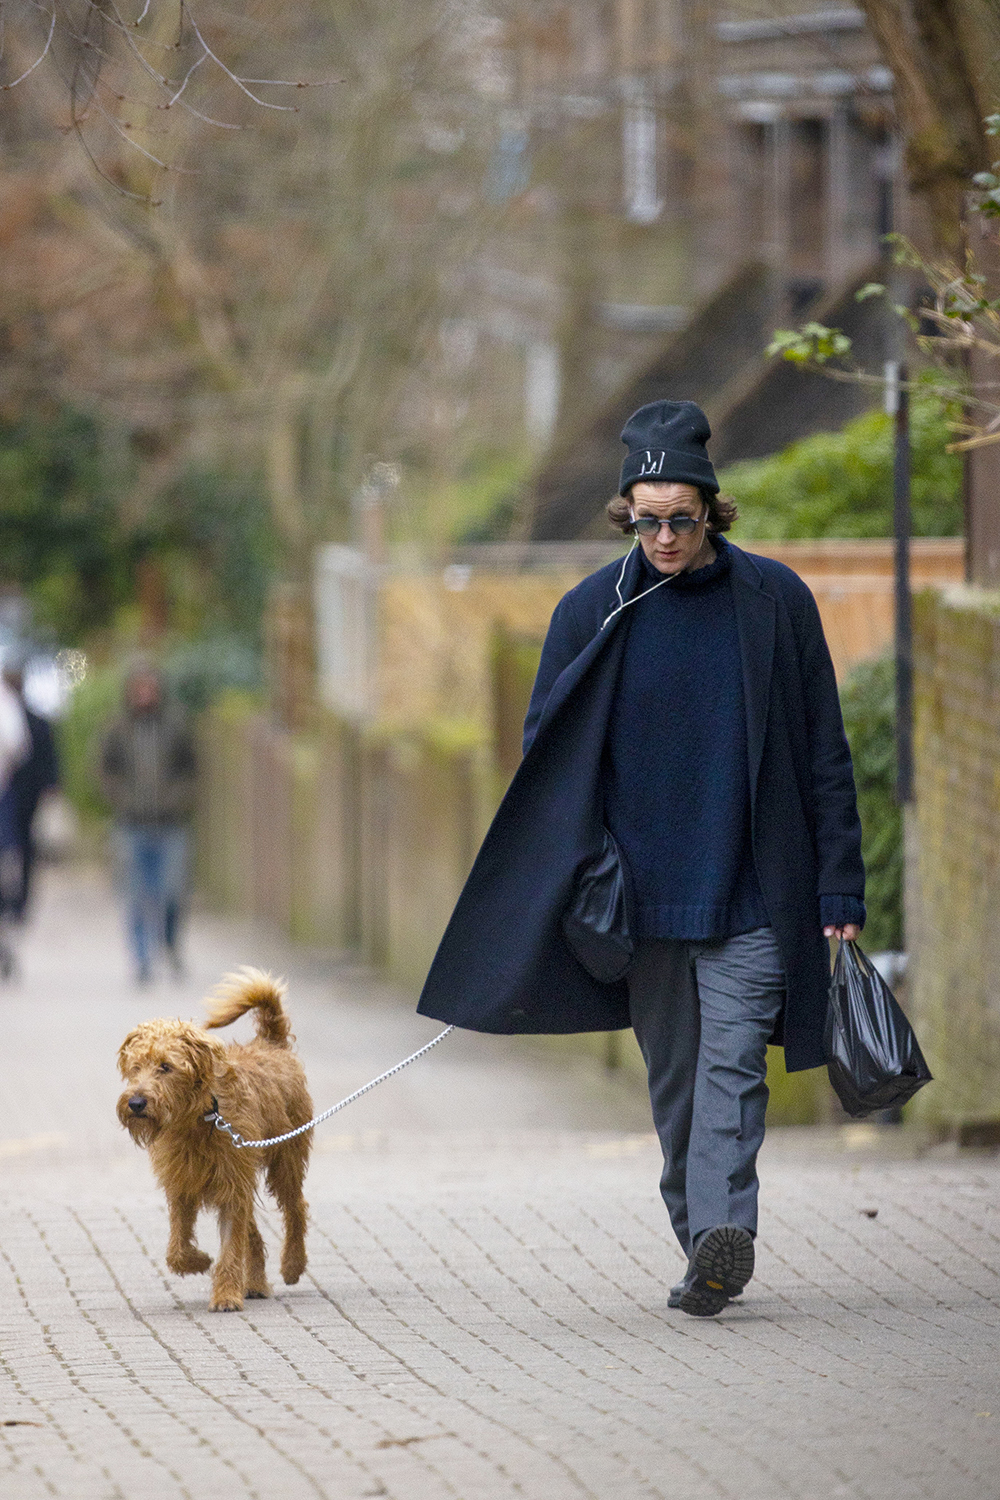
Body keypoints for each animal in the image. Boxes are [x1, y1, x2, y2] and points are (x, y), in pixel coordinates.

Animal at [116, 966, 313, 1308]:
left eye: (165, 1067)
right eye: (136, 1067)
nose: (136, 1103)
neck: (201, 1118)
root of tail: (271, 1043)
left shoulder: (231, 1185)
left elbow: (231, 1245)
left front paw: (225, 1294)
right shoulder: (183, 1185)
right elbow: (177, 1249)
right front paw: (200, 1262)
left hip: (284, 1159)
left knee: (296, 1208)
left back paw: (292, 1264)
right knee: (254, 1233)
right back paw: (256, 1282)